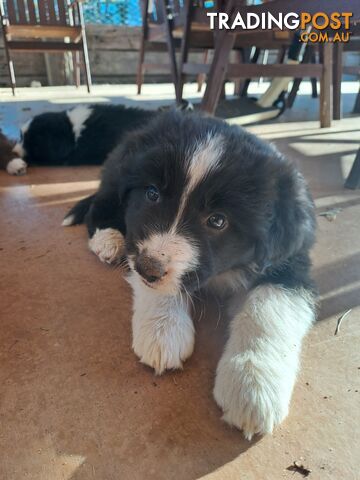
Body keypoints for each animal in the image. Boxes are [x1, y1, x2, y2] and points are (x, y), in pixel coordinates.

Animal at [63, 110, 316, 440]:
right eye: (152, 194)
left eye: (218, 221)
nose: (147, 267)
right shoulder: (139, 245)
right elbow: (161, 286)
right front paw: (163, 331)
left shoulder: (289, 264)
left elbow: (268, 311)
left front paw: (252, 383)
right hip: (117, 174)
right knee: (101, 202)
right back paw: (108, 240)